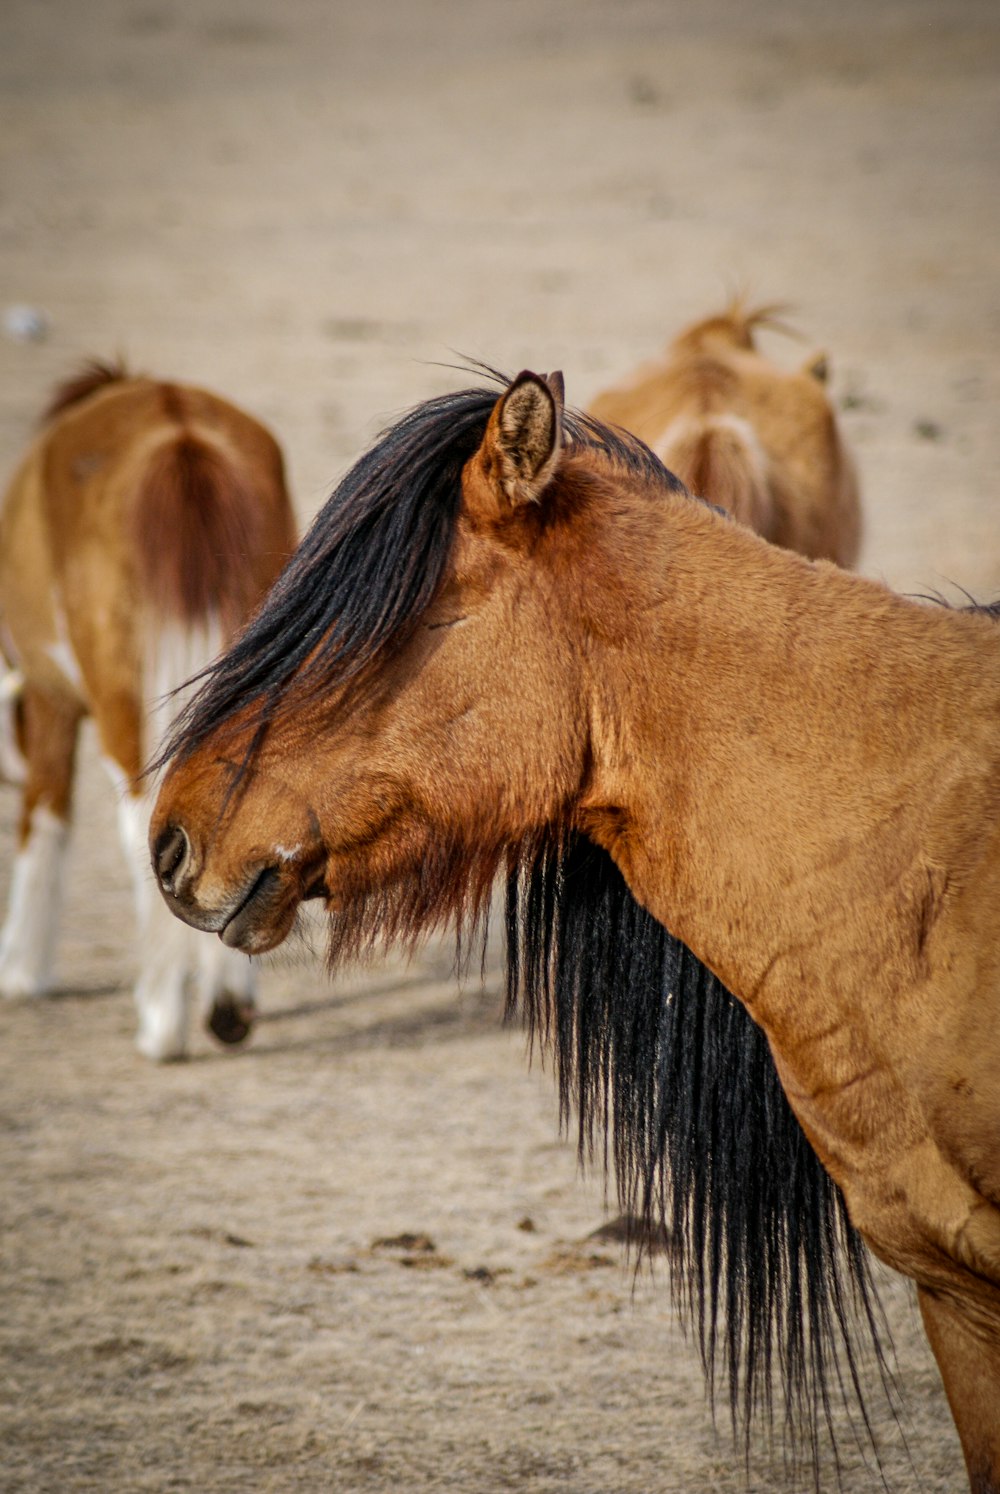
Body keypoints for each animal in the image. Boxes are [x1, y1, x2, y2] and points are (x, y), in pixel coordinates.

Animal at [0, 361, 295, 1063]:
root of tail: (179, 434)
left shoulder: (50, 700)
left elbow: (44, 820)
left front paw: (20, 968)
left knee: (144, 824)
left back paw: (163, 1023)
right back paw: (227, 1008)